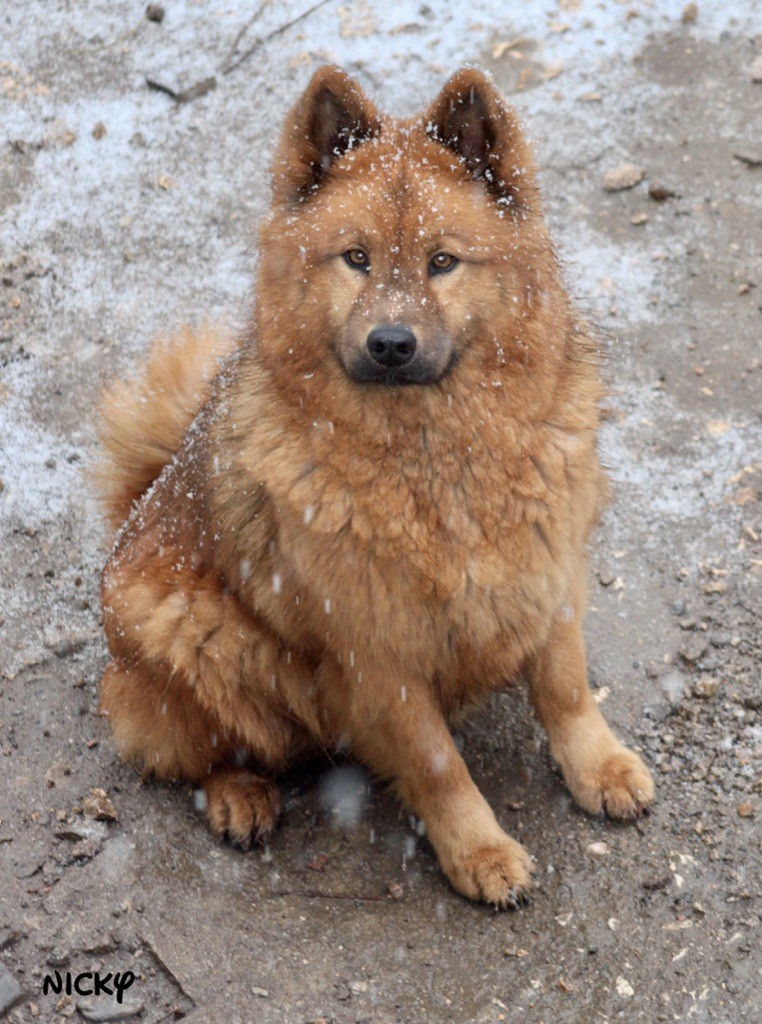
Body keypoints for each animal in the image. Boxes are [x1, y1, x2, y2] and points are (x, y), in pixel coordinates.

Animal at [95, 64, 655, 905]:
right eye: (355, 258)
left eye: (443, 261)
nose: (392, 343)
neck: (433, 461)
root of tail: (138, 504)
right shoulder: (376, 653)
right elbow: (438, 763)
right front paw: (479, 851)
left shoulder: (547, 573)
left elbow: (565, 690)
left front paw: (599, 766)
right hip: (186, 626)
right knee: (203, 745)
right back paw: (239, 794)